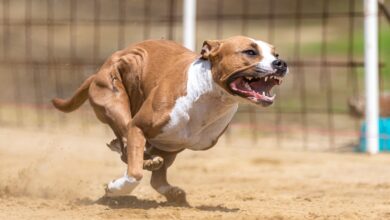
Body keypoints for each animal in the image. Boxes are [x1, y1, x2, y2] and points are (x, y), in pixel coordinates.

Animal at [51, 36, 286, 203]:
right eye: (250, 52)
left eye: (275, 53)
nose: (281, 63)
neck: (209, 96)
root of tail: (97, 72)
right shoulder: (139, 126)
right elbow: (134, 173)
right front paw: (115, 188)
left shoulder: (174, 144)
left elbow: (153, 173)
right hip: (115, 98)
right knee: (125, 139)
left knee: (139, 158)